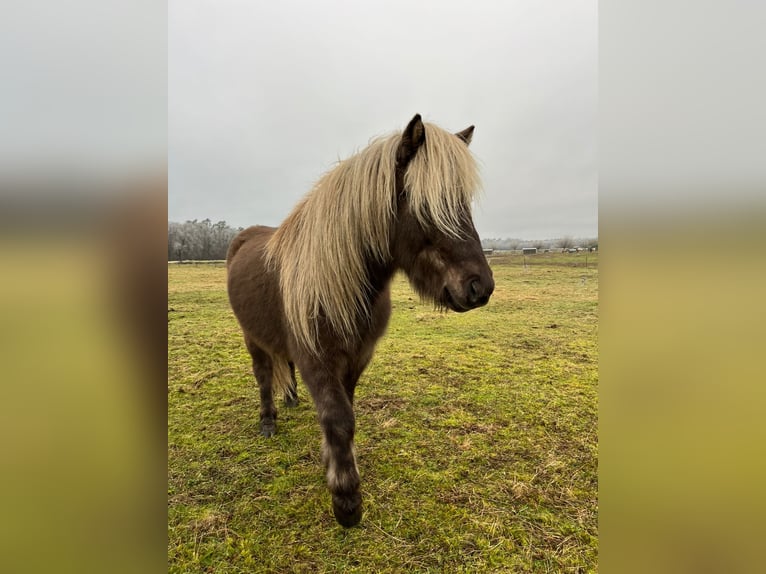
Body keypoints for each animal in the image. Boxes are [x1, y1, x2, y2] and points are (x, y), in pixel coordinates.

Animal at [226, 114, 494, 527]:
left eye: (463, 201)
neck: (341, 281)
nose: (479, 286)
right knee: (264, 376)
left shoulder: (356, 358)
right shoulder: (317, 360)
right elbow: (338, 418)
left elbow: (346, 413)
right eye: (423, 204)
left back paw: (291, 401)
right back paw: (268, 422)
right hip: (251, 338)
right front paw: (346, 500)